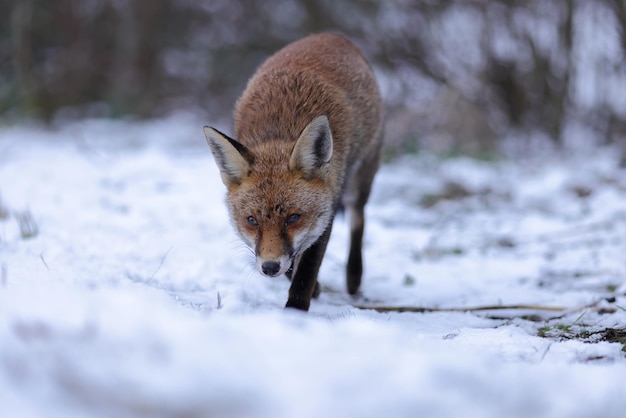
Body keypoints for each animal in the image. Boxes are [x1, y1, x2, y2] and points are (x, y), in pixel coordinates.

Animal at [202, 33, 382, 310]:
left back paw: (354, 278)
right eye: (251, 220)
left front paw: (295, 312)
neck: (280, 129)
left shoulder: (327, 209)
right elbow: (292, 265)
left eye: (294, 218)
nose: (269, 268)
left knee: (358, 218)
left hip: (359, 179)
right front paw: (312, 289)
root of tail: (332, 35)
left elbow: (305, 271)